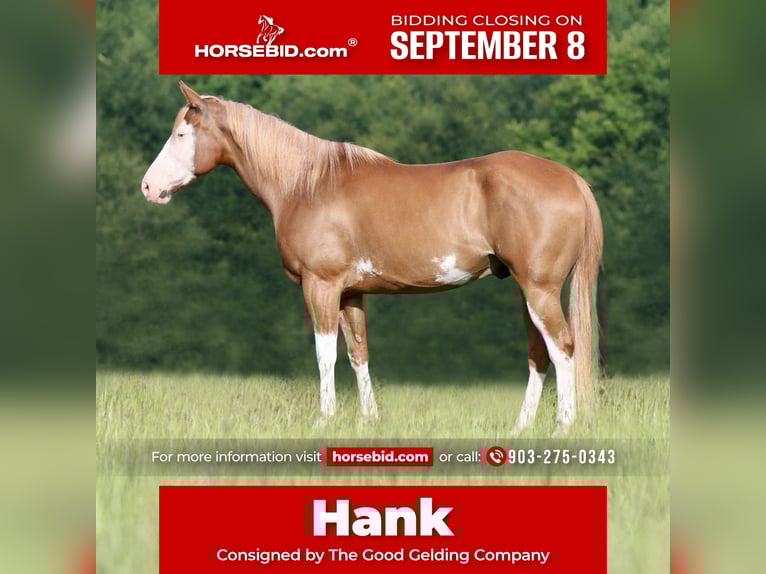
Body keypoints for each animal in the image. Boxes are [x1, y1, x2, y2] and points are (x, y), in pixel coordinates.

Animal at [141, 82, 603, 435]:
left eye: (181, 135)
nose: (148, 187)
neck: (307, 185)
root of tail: (570, 178)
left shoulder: (322, 286)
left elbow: (325, 354)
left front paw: (324, 421)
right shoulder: (351, 293)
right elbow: (358, 353)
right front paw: (368, 421)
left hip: (540, 290)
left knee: (562, 348)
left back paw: (562, 427)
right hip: (528, 293)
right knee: (539, 354)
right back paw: (520, 429)